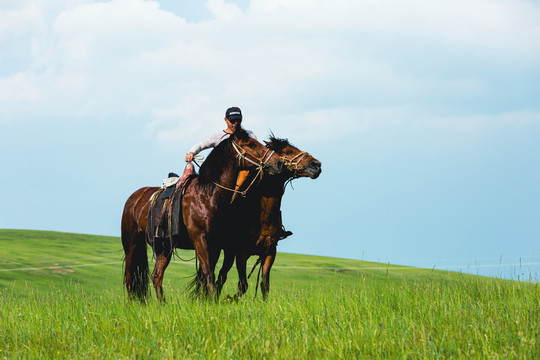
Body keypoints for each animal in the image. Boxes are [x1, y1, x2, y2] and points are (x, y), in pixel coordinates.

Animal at [121, 128, 282, 302]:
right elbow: (208, 273)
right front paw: (211, 301)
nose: (278, 163)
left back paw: (162, 303)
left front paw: (207, 300)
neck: (207, 195)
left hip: (164, 248)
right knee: (130, 275)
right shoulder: (200, 239)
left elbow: (207, 275)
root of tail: (133, 198)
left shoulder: (216, 244)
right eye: (251, 144)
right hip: (131, 244)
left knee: (156, 275)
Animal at [212, 136, 322, 300]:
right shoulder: (241, 253)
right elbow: (243, 285)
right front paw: (229, 299)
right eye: (288, 151)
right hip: (227, 251)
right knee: (220, 276)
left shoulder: (269, 252)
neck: (261, 216)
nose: (317, 165)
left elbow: (265, 285)